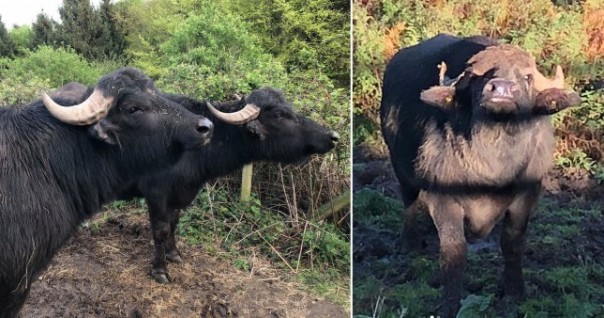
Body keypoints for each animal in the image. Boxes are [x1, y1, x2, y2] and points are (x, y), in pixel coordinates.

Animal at [116, 87, 342, 284]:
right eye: (279, 114)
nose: (333, 136)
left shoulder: (179, 193)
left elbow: (174, 223)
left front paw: (173, 254)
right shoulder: (157, 194)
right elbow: (161, 230)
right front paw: (159, 269)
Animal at [380, 33, 584, 316]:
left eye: (527, 77)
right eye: (478, 76)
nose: (502, 89)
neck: (492, 167)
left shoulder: (527, 194)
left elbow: (512, 243)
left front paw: (515, 293)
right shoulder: (442, 197)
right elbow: (454, 251)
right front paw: (450, 303)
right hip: (399, 166)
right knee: (408, 200)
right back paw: (409, 244)